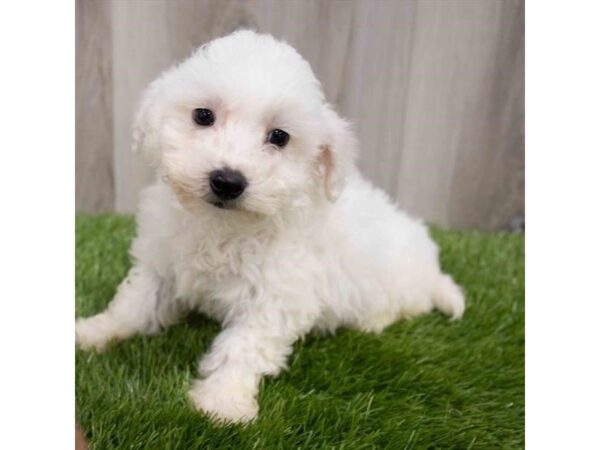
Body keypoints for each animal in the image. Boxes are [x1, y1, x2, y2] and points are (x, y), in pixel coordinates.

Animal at [77, 29, 466, 424]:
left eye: (279, 137)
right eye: (203, 115)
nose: (227, 181)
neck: (223, 225)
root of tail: (432, 268)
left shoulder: (277, 295)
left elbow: (243, 346)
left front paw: (223, 402)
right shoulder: (161, 264)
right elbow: (133, 305)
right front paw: (93, 332)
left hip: (396, 289)